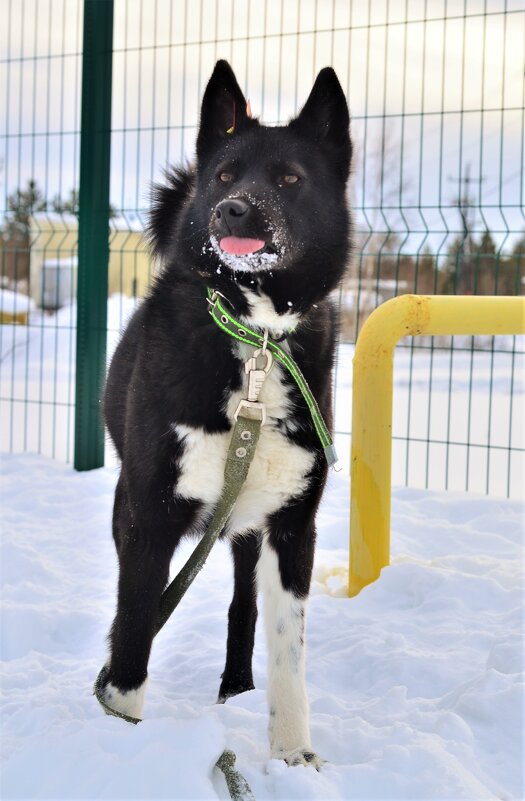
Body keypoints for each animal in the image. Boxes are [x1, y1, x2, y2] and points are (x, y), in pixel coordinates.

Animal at [100, 59, 350, 764]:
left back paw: (235, 688)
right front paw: (119, 746)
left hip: (245, 526)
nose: (233, 208)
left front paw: (293, 757)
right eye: (223, 175)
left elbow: (289, 653)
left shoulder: (293, 527)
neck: (256, 340)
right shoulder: (147, 517)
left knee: (244, 609)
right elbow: (134, 635)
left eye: (290, 179)